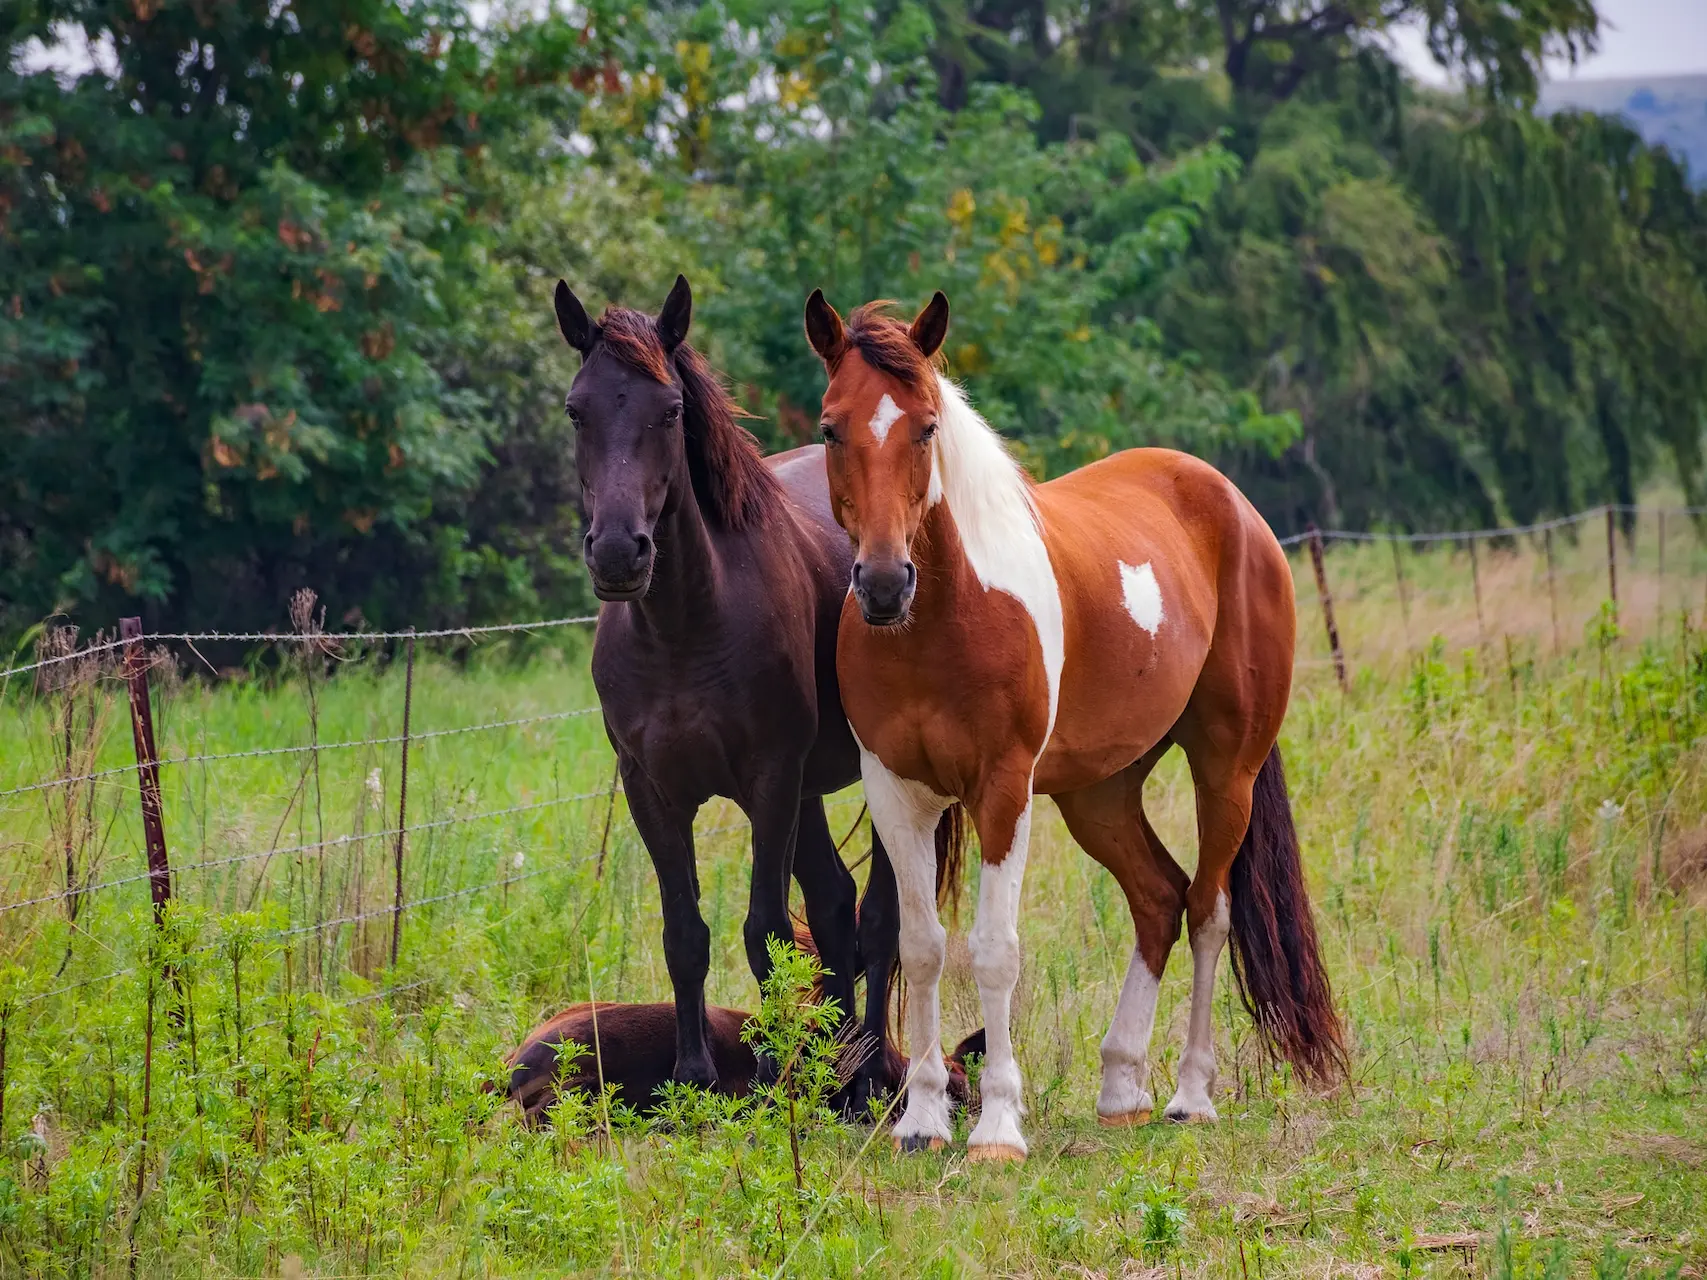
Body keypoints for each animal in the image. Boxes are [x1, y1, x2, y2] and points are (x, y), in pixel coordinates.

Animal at [559, 279, 962, 1112]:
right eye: (578, 409)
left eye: (669, 410)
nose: (617, 553)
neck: (684, 625)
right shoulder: (651, 789)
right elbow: (685, 932)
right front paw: (694, 1082)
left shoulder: (769, 782)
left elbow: (765, 929)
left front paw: (774, 1081)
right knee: (837, 910)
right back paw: (834, 1066)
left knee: (879, 921)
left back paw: (867, 1075)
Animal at [802, 290, 1345, 1160]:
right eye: (829, 427)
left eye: (925, 427)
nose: (884, 584)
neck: (944, 619)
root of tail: (1236, 508)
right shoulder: (895, 791)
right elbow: (921, 948)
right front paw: (921, 1120)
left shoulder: (1001, 790)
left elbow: (994, 952)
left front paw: (996, 1126)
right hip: (1101, 793)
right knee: (1158, 898)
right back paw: (1121, 1084)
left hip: (1224, 770)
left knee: (1208, 910)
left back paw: (1190, 1095)